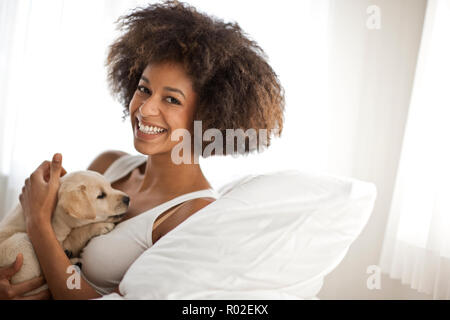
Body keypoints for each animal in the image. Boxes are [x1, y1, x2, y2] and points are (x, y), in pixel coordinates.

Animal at [0, 170, 129, 296]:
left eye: (110, 186)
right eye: (101, 195)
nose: (128, 199)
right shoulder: (55, 237)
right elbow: (76, 234)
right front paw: (99, 226)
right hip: (21, 241)